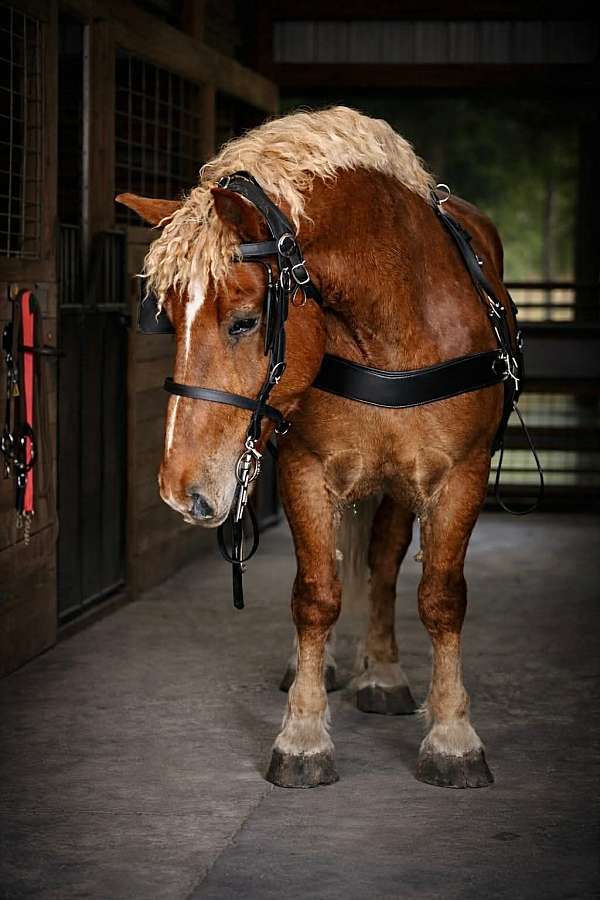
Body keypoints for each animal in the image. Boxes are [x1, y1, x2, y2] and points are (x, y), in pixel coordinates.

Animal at [116, 106, 518, 790]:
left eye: (244, 320)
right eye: (167, 317)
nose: (178, 490)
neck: (391, 324)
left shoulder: (459, 476)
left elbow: (441, 598)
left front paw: (452, 736)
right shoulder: (307, 472)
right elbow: (316, 594)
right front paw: (303, 734)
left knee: (383, 563)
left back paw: (382, 672)